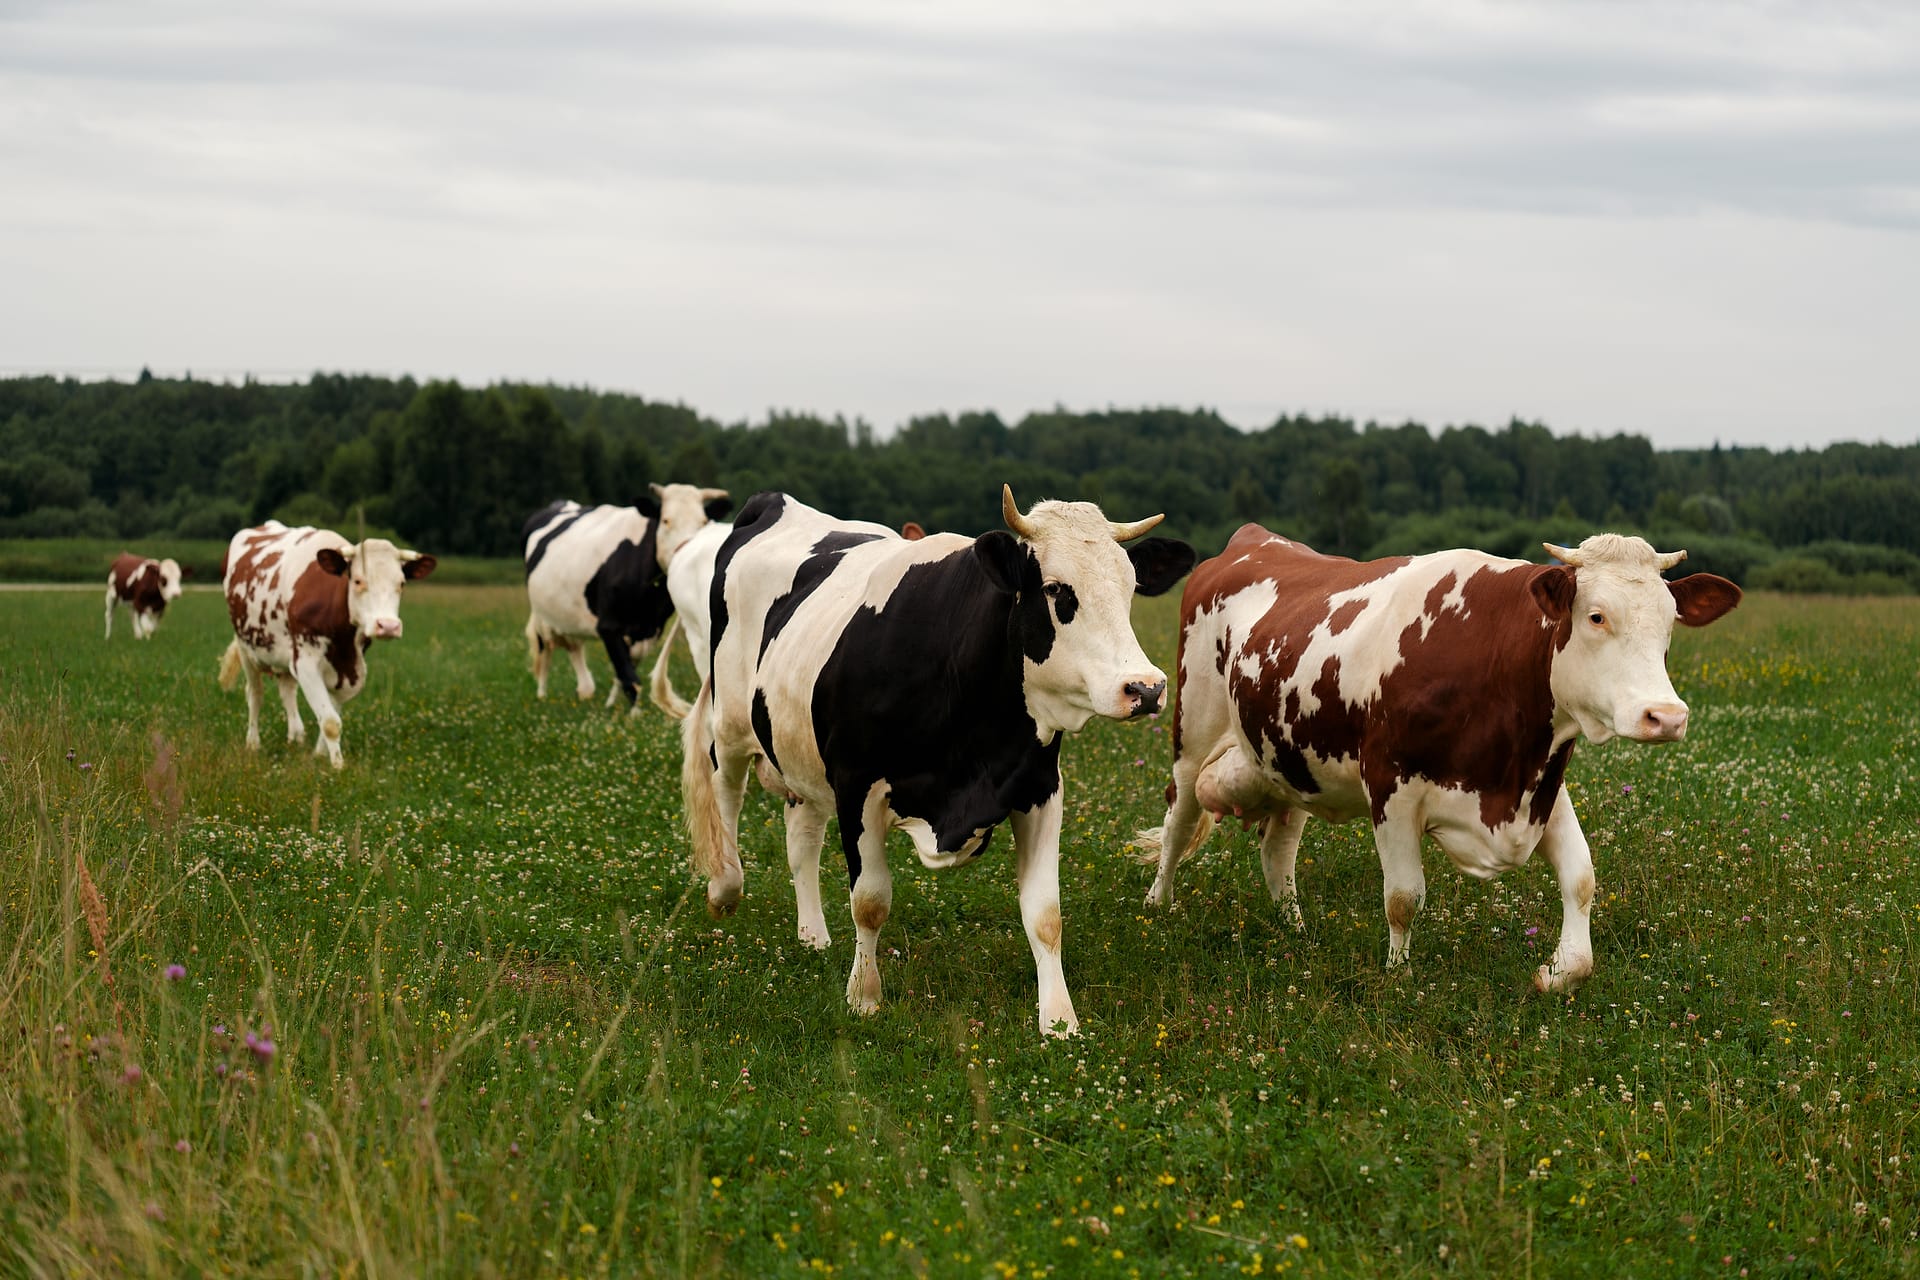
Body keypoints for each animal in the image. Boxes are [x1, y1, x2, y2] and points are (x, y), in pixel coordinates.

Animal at [216, 522, 437, 769]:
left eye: (401, 583)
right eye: (358, 580)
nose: (388, 626)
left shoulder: (352, 669)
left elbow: (331, 715)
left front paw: (319, 755)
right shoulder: (306, 662)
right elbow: (331, 722)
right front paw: (337, 766)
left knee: (287, 691)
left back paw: (296, 736)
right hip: (246, 648)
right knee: (255, 694)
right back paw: (253, 743)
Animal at [522, 483, 730, 709]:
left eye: (703, 522)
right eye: (666, 520)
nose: (685, 549)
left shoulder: (650, 630)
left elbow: (624, 670)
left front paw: (612, 704)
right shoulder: (608, 626)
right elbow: (630, 678)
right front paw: (632, 713)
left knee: (574, 647)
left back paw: (585, 691)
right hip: (541, 615)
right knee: (544, 648)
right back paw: (542, 694)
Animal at [683, 486, 1196, 1036]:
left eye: (1130, 588)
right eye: (1057, 590)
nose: (1146, 688)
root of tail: (775, 501)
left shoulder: (1039, 786)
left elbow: (1045, 915)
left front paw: (1060, 1021)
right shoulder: (857, 787)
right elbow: (870, 902)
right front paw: (864, 998)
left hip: (799, 753)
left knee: (801, 841)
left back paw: (812, 935)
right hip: (730, 723)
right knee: (726, 795)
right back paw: (724, 887)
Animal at [1137, 527, 1742, 991]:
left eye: (1669, 622)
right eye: (1596, 617)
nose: (1665, 716)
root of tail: (1252, 540)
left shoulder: (1540, 784)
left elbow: (1582, 878)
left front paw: (1556, 972)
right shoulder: (1390, 786)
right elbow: (1403, 898)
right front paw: (1399, 979)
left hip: (1286, 759)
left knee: (1277, 847)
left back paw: (1295, 928)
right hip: (1192, 735)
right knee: (1178, 820)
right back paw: (1157, 908)